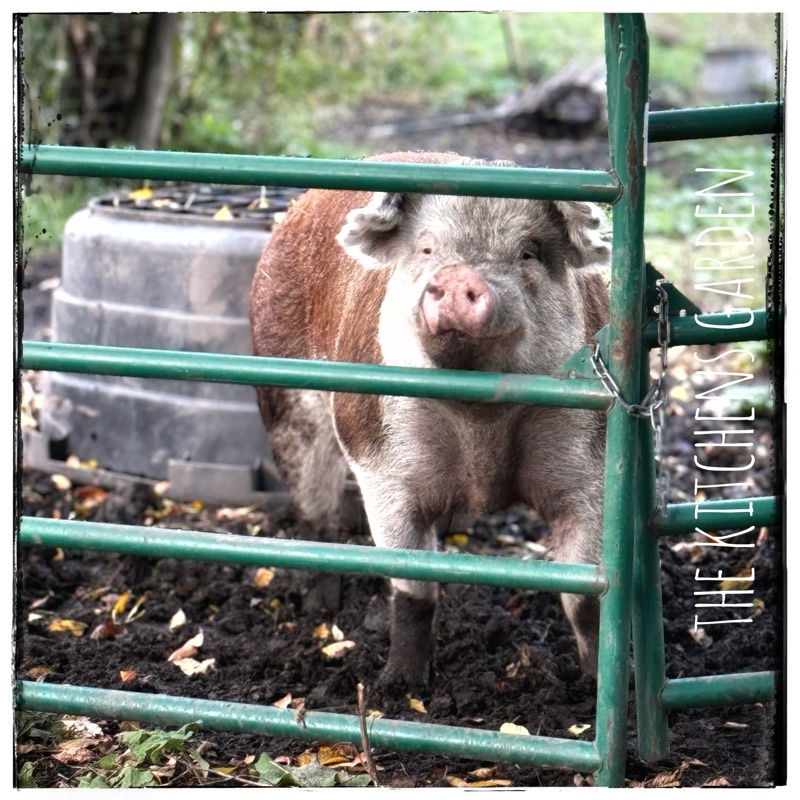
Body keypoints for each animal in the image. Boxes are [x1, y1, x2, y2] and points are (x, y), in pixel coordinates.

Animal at [250, 151, 610, 690]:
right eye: (426, 248)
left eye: (528, 251)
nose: (460, 274)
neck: (481, 417)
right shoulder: (381, 463)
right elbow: (413, 586)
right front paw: (400, 686)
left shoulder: (590, 466)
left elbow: (584, 593)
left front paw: (596, 685)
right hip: (284, 402)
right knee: (317, 515)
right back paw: (321, 608)